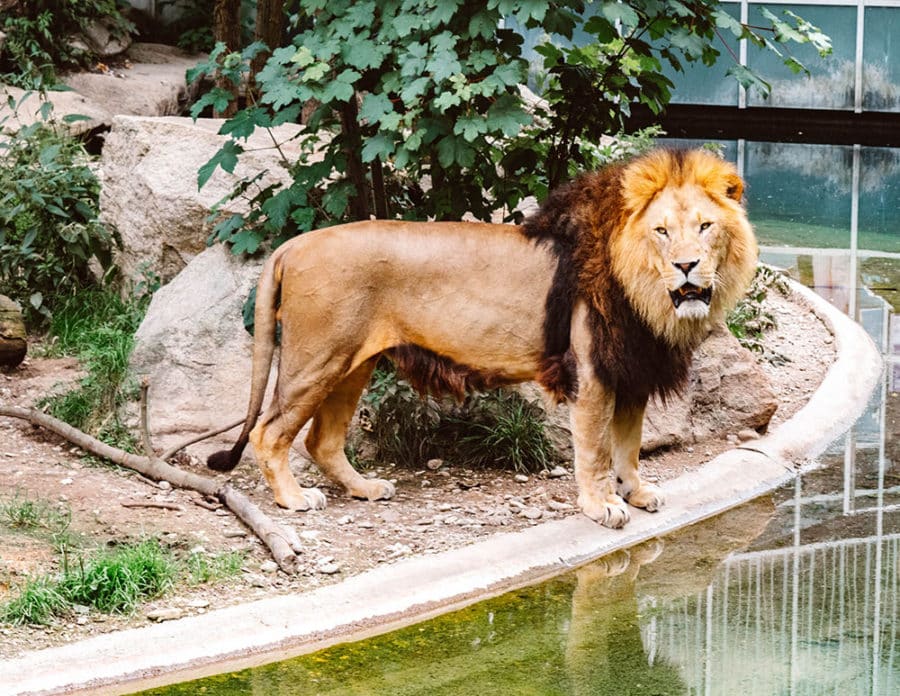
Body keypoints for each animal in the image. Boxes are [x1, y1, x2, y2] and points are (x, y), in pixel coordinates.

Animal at [207, 148, 758, 529]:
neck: (643, 291)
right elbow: (596, 449)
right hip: (316, 359)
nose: (687, 266)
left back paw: (365, 488)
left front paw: (635, 492)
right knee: (269, 432)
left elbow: (629, 443)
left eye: (705, 227)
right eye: (661, 232)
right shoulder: (591, 371)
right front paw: (602, 505)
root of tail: (292, 244)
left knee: (321, 440)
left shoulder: (631, 370)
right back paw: (293, 499)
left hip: (352, 364)